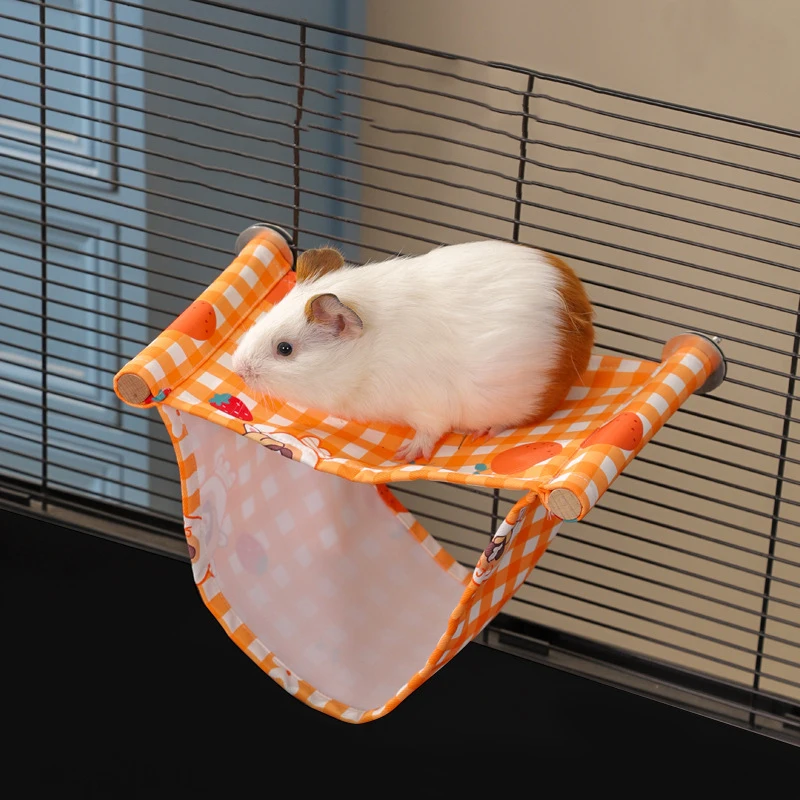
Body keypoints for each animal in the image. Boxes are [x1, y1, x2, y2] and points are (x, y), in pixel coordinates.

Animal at [232, 240, 594, 462]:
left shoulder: (430, 409)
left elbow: (429, 433)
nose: (239, 369)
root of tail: (581, 320)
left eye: (285, 349)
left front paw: (405, 454)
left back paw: (484, 431)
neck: (370, 355)